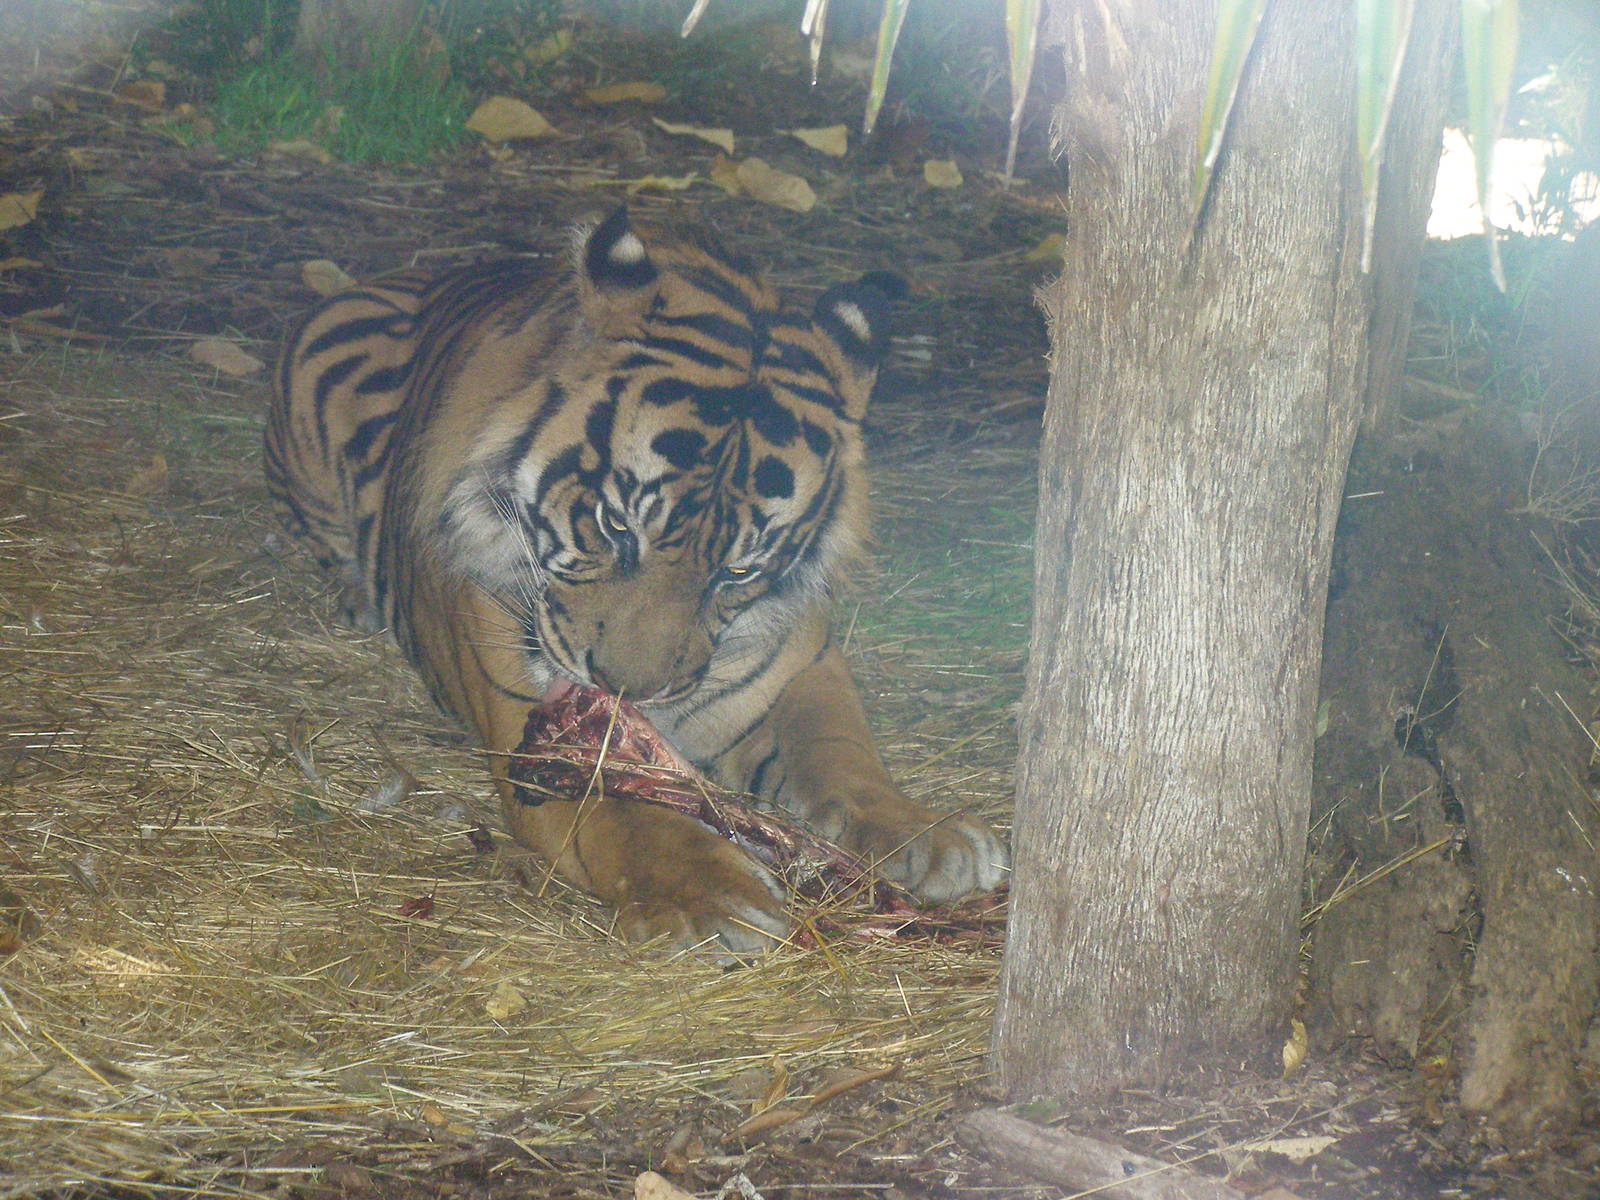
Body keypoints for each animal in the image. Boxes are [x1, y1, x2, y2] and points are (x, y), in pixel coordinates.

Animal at [264, 207, 1008, 956]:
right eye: (616, 526)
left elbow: (841, 752)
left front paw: (928, 835)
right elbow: (637, 823)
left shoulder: (798, 667)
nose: (628, 691)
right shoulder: (535, 744)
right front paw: (715, 895)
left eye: (738, 570)